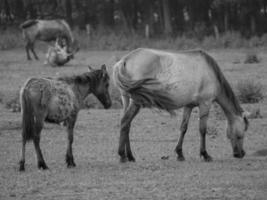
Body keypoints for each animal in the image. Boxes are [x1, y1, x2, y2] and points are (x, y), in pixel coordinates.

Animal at [113, 48, 251, 162]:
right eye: (241, 134)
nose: (241, 154)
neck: (210, 72)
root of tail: (124, 60)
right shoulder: (205, 104)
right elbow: (202, 130)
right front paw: (205, 154)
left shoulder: (188, 106)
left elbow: (183, 128)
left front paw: (180, 154)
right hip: (136, 102)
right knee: (125, 122)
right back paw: (122, 156)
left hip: (126, 100)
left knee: (127, 125)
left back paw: (130, 156)